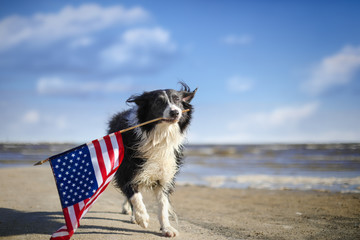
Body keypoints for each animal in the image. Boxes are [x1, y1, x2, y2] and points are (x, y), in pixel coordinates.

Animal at [107, 83, 197, 237]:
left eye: (177, 100)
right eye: (159, 102)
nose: (175, 112)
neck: (159, 136)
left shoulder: (165, 175)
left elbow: (163, 205)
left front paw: (167, 228)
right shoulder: (126, 171)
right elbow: (134, 195)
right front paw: (142, 217)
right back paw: (133, 215)